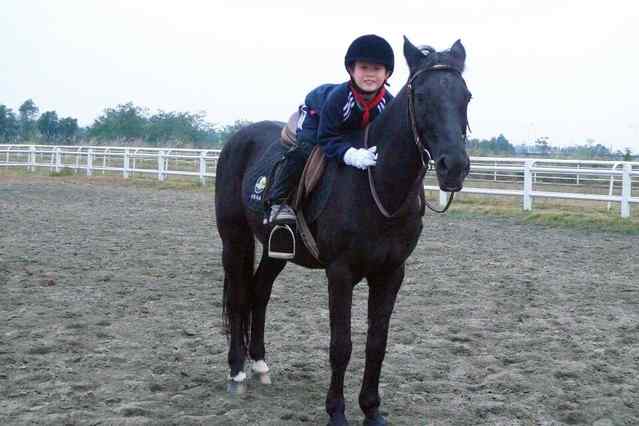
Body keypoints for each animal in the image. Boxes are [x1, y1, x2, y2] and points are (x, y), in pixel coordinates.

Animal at [214, 36, 471, 426]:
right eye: (423, 96)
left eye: (466, 96)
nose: (453, 166)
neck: (378, 185)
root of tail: (237, 139)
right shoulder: (340, 272)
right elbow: (342, 345)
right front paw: (336, 411)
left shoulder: (391, 273)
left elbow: (376, 344)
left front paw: (372, 410)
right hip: (234, 239)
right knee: (241, 295)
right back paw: (237, 373)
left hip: (278, 249)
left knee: (260, 292)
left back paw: (259, 364)